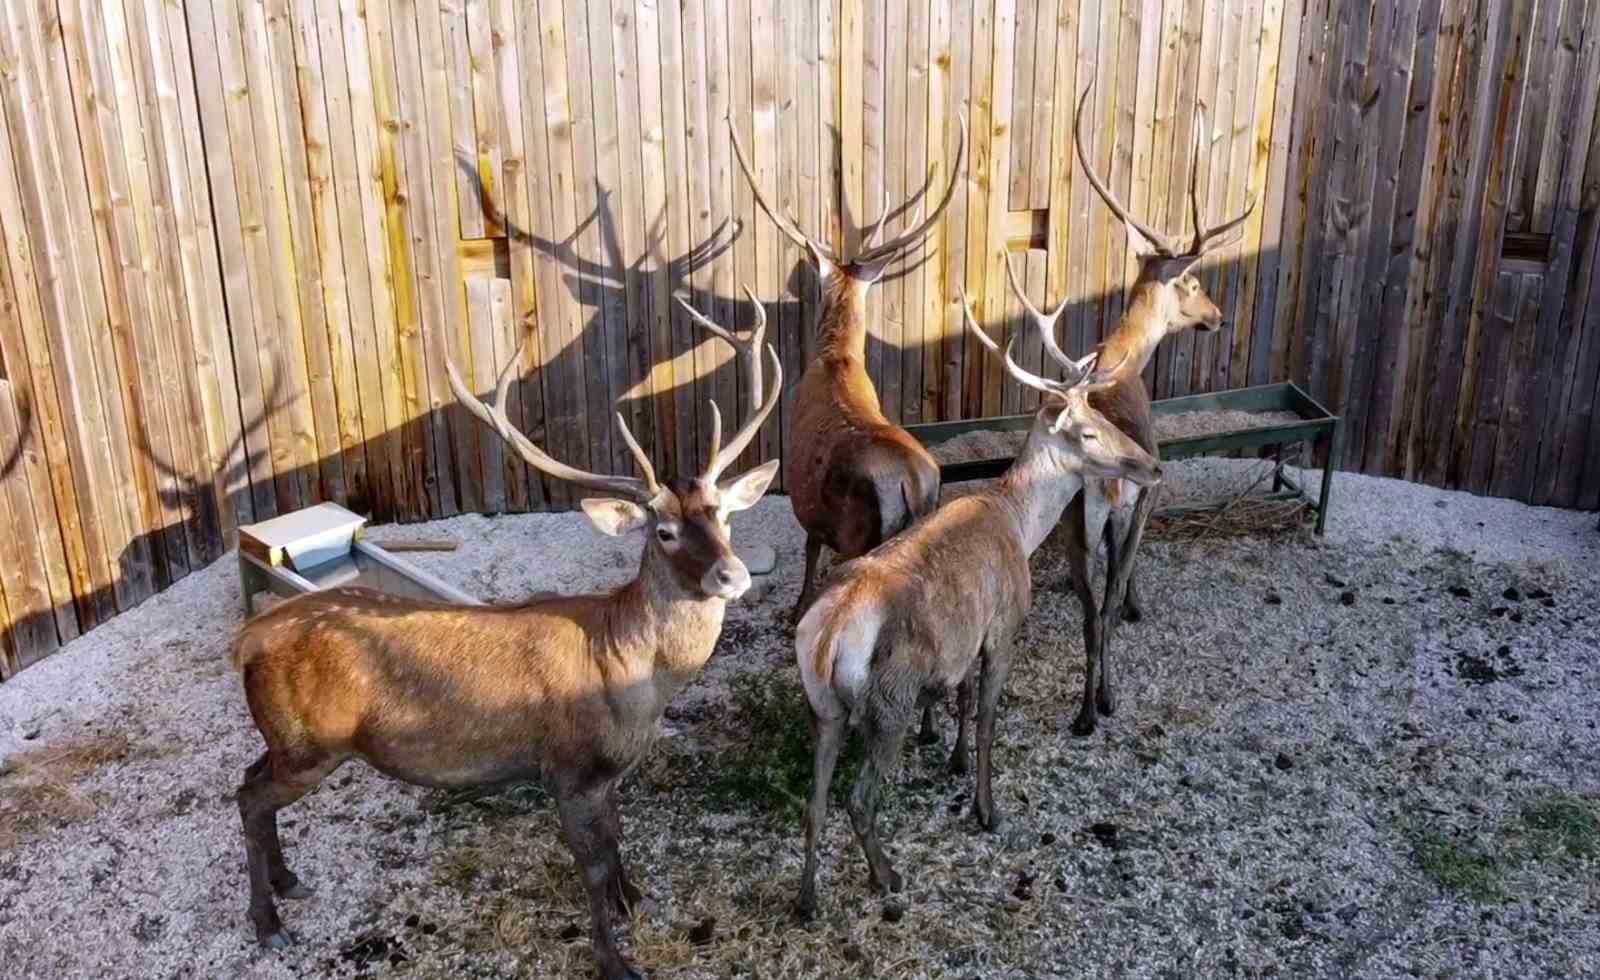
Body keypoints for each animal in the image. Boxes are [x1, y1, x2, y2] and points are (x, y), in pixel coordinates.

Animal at [233, 320, 780, 980]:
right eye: (664, 531)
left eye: (724, 516)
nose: (732, 574)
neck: (631, 674)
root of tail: (245, 639)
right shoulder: (567, 767)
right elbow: (591, 865)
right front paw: (613, 959)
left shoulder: (608, 772)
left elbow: (617, 836)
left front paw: (633, 899)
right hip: (312, 744)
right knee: (248, 796)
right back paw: (267, 924)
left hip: (288, 740)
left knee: (250, 780)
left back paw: (287, 882)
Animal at [732, 112, 966, 634]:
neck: (836, 359)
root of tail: (910, 484)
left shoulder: (810, 509)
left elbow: (808, 549)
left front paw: (797, 608)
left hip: (862, 533)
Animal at [796, 302, 1164, 915]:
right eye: (1089, 429)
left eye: (1104, 416)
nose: (1152, 466)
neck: (1018, 524)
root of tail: (826, 641)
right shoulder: (1003, 624)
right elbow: (990, 717)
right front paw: (987, 809)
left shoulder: (965, 635)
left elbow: (963, 698)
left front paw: (956, 760)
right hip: (888, 699)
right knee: (859, 797)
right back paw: (886, 876)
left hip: (823, 706)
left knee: (815, 800)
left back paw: (806, 900)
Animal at [1049, 88, 1260, 736]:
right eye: (1191, 281)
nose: (1217, 315)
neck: (1124, 363)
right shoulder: (1152, 494)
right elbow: (1126, 578)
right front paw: (1140, 607)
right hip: (1118, 508)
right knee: (1106, 603)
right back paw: (1101, 702)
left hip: (1075, 523)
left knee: (1089, 607)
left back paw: (1085, 710)